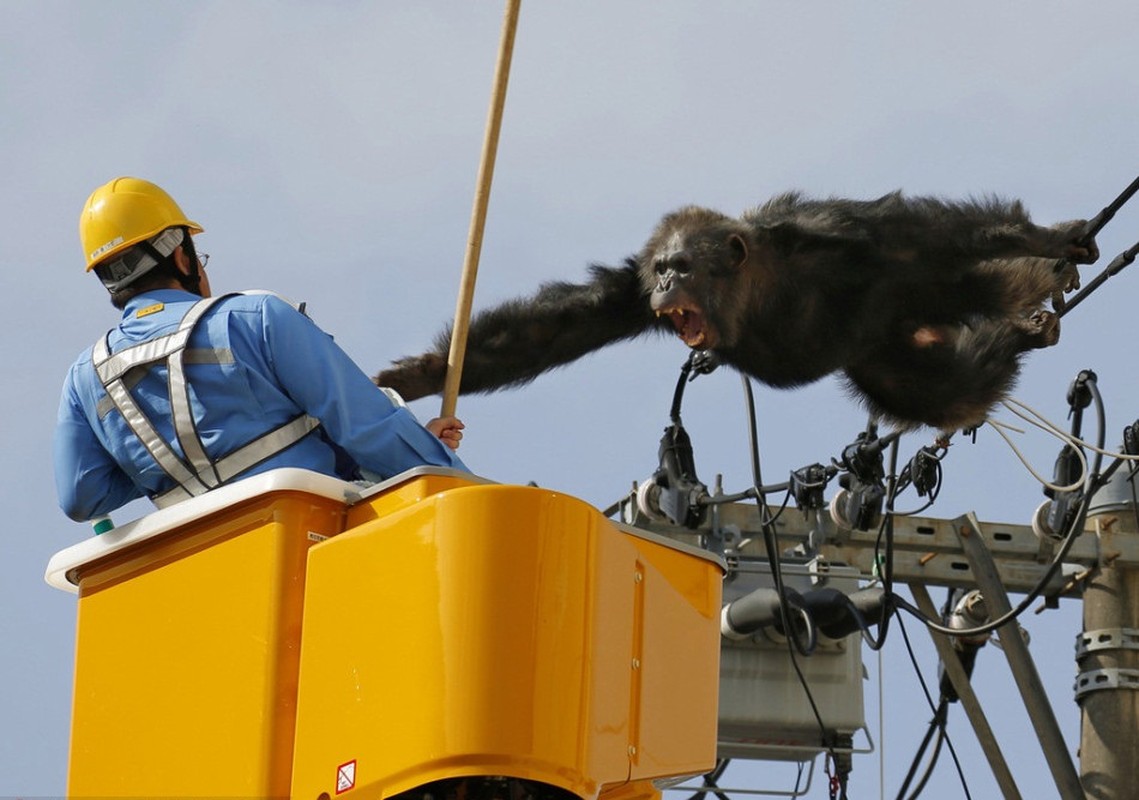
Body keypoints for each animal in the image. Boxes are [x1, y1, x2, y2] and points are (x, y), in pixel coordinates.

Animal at [373, 192, 1093, 433]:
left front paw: (1046, 239)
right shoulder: (630, 293)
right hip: (883, 357)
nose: (667, 285)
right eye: (660, 267)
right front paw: (420, 374)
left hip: (919, 299)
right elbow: (551, 330)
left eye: (681, 266)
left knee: (971, 309)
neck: (756, 287)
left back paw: (1031, 309)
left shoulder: (841, 235)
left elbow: (920, 233)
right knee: (941, 391)